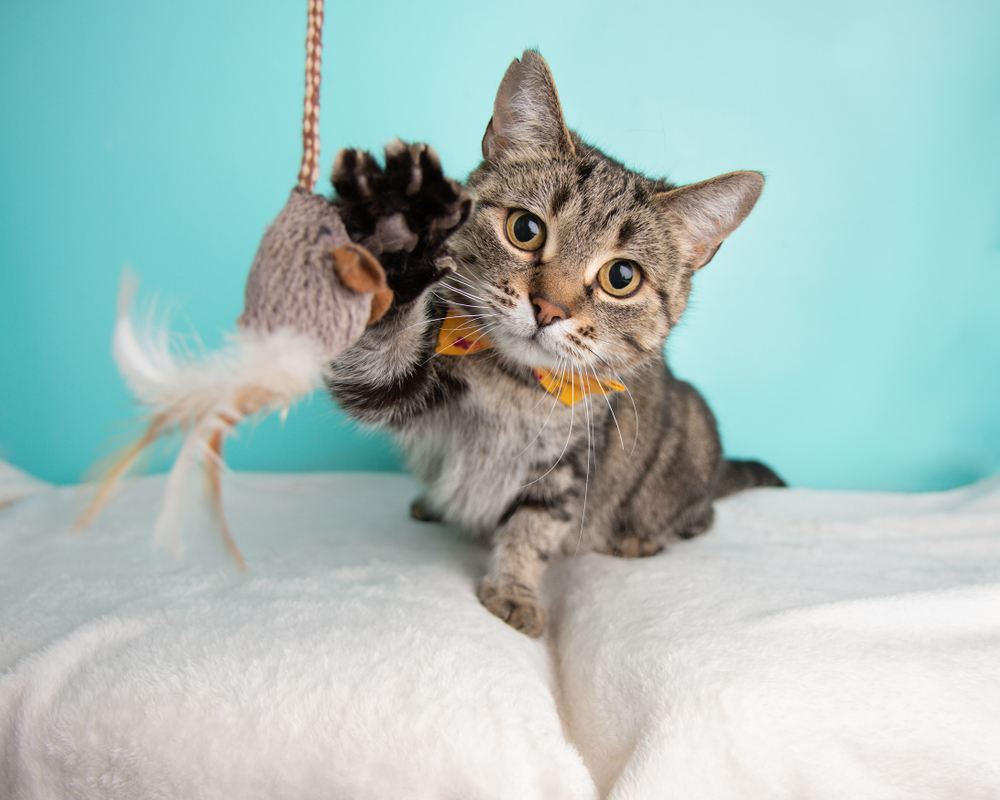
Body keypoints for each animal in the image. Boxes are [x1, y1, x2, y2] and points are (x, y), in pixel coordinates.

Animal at [328, 51, 780, 636]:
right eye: (525, 229)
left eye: (622, 277)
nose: (548, 309)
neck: (517, 386)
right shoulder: (402, 383)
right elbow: (380, 354)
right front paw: (395, 234)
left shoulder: (569, 465)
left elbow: (533, 527)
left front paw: (513, 588)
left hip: (693, 435)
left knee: (699, 516)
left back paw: (638, 537)